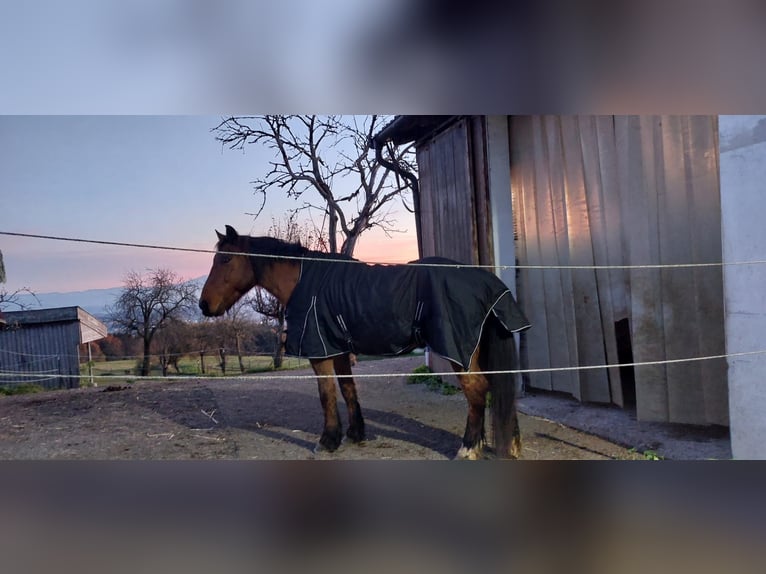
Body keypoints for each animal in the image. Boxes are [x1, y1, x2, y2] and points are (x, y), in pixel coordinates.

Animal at [199, 225, 530, 459]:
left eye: (225, 259)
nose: (204, 305)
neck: (306, 279)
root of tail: (486, 281)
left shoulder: (321, 353)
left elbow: (327, 395)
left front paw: (328, 441)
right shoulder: (339, 349)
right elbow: (348, 390)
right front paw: (355, 434)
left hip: (460, 352)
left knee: (478, 391)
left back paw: (468, 448)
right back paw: (508, 444)